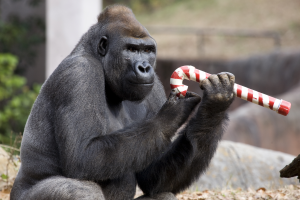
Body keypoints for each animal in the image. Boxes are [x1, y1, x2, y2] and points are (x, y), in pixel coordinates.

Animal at [10, 4, 236, 200]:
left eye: (147, 50)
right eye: (131, 49)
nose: (145, 67)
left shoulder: (154, 86)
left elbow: (154, 179)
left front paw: (214, 106)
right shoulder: (78, 74)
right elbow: (83, 156)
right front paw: (172, 114)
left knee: (163, 194)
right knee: (79, 189)